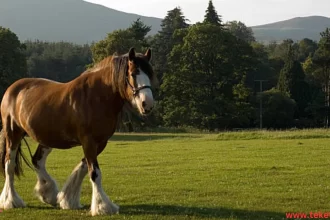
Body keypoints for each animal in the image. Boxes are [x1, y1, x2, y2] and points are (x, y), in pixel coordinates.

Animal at [0, 47, 159, 215]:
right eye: (133, 73)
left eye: (150, 74)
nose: (147, 104)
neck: (97, 96)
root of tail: (13, 88)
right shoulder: (88, 141)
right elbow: (94, 173)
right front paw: (102, 206)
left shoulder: (100, 142)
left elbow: (84, 167)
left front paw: (68, 199)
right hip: (13, 135)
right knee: (9, 164)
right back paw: (11, 201)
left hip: (47, 138)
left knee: (37, 160)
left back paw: (49, 193)